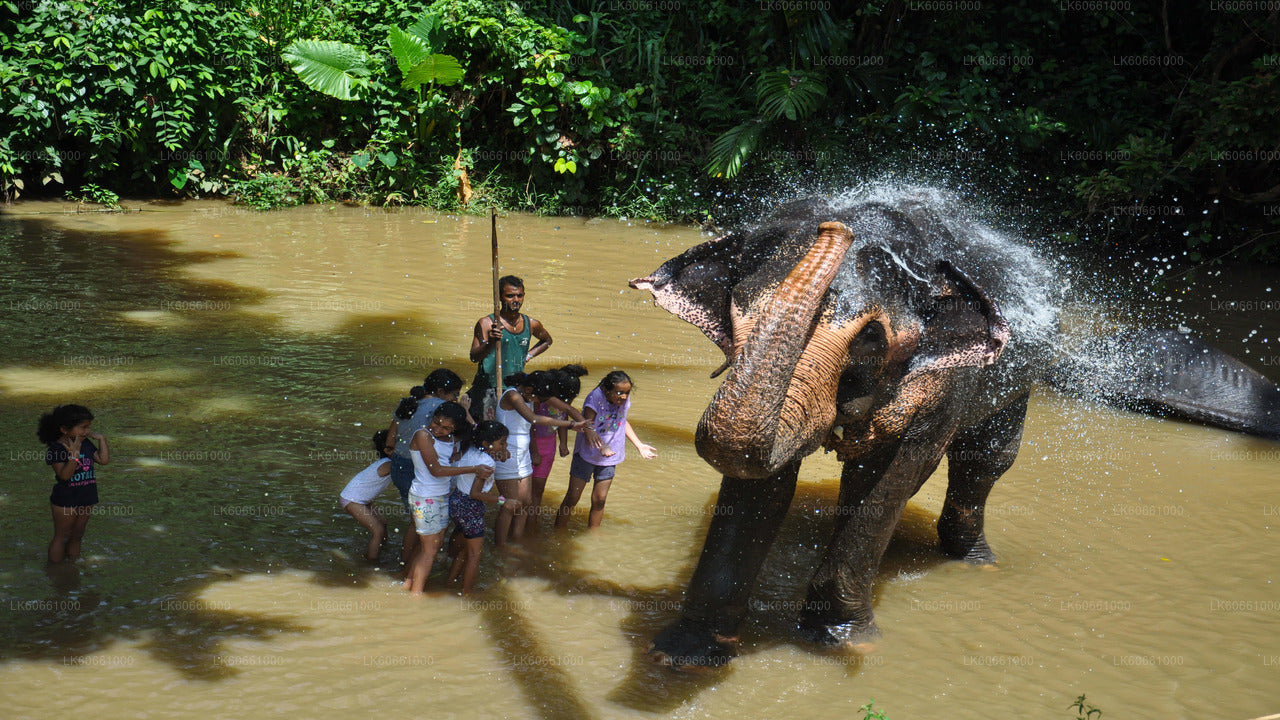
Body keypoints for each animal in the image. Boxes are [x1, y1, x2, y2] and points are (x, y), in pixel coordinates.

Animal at [629, 191, 1280, 669]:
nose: (834, 229)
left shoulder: (952, 380)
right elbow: (760, 481)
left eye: (871, 336)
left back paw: (977, 562)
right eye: (737, 311)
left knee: (983, 461)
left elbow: (901, 471)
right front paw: (683, 657)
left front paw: (847, 641)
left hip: (1018, 380)